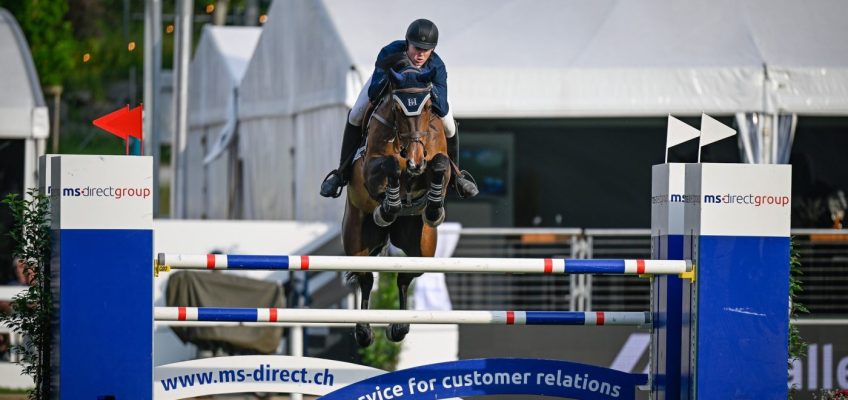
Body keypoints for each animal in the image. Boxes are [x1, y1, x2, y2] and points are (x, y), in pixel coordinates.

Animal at [342, 65, 454, 346]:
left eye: (428, 107)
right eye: (397, 107)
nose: (415, 160)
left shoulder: (439, 162)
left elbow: (440, 165)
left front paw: (434, 208)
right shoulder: (369, 170)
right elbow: (389, 166)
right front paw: (388, 207)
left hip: (423, 247)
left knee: (405, 276)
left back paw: (399, 327)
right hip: (357, 240)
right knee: (366, 278)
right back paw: (364, 332)